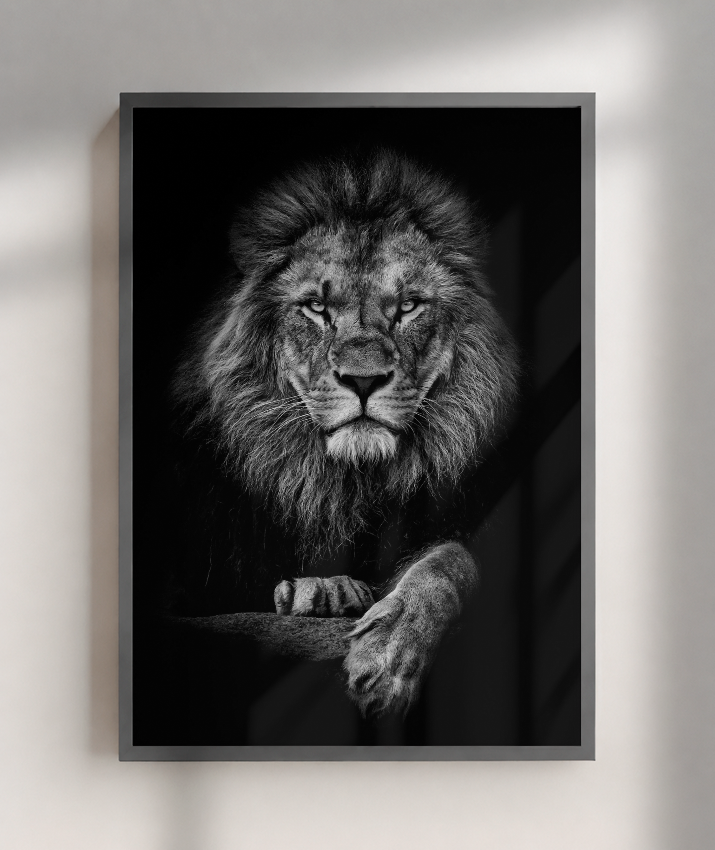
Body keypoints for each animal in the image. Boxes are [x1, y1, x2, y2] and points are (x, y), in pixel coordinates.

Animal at [169, 151, 519, 716]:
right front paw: (325, 591)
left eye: (408, 306)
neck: (343, 483)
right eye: (316, 307)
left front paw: (389, 653)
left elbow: (449, 561)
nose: (363, 379)